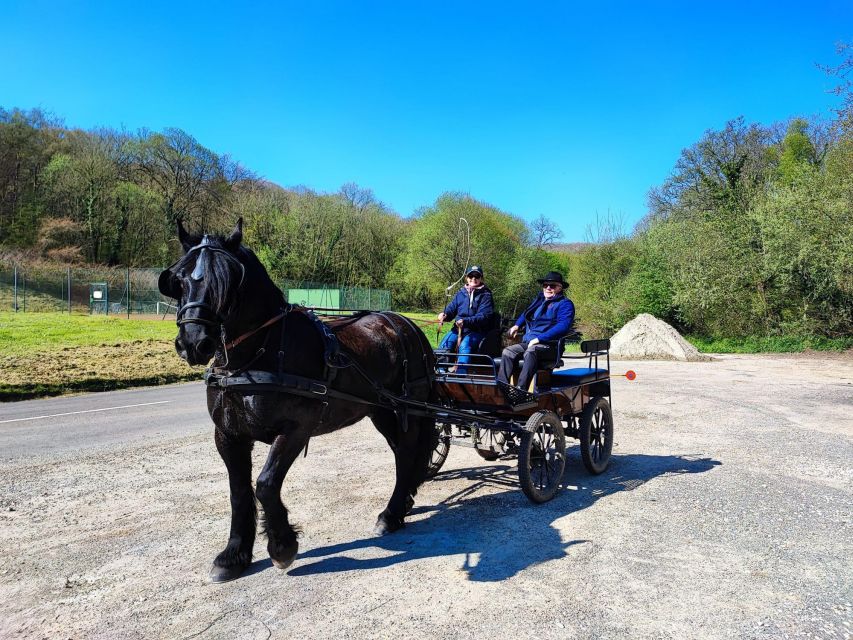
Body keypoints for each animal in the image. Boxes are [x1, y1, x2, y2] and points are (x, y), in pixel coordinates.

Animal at [160, 222, 436, 584]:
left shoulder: (295, 430)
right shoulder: (228, 435)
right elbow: (239, 492)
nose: (193, 343)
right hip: (381, 412)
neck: (257, 354)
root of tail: (406, 324)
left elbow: (265, 485)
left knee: (405, 455)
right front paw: (234, 555)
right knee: (401, 453)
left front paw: (282, 546)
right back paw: (402, 504)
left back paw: (391, 514)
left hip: (406, 409)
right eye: (178, 279)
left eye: (228, 282)